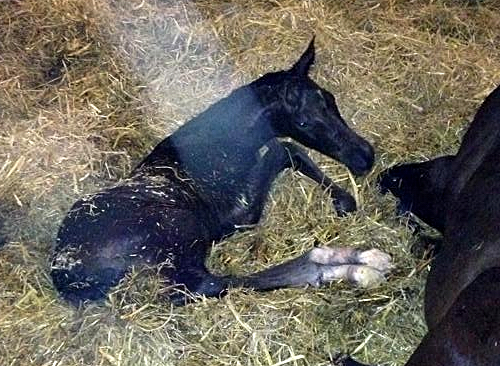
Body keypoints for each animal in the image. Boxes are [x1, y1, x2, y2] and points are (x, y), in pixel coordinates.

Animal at [49, 38, 390, 304]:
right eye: (303, 122)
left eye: (330, 99)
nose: (364, 157)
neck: (222, 140)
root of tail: (66, 277)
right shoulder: (233, 213)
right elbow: (284, 149)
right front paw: (342, 201)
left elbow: (287, 150)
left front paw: (343, 199)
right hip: (177, 230)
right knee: (208, 284)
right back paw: (354, 266)